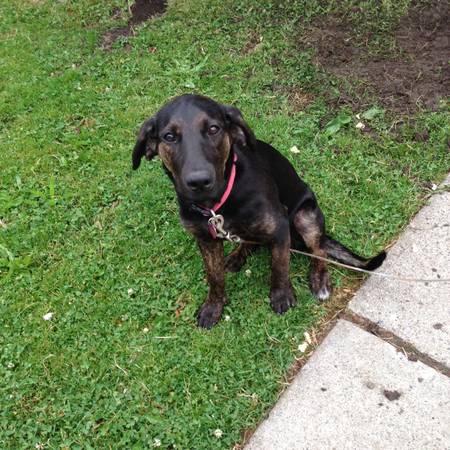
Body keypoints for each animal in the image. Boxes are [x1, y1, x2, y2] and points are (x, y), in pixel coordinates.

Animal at [131, 94, 386, 326]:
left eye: (213, 129)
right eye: (169, 136)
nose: (199, 181)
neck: (218, 204)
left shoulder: (280, 227)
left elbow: (279, 266)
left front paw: (281, 296)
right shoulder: (206, 239)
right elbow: (214, 277)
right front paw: (213, 307)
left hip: (305, 215)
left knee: (319, 249)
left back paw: (319, 278)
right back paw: (237, 256)